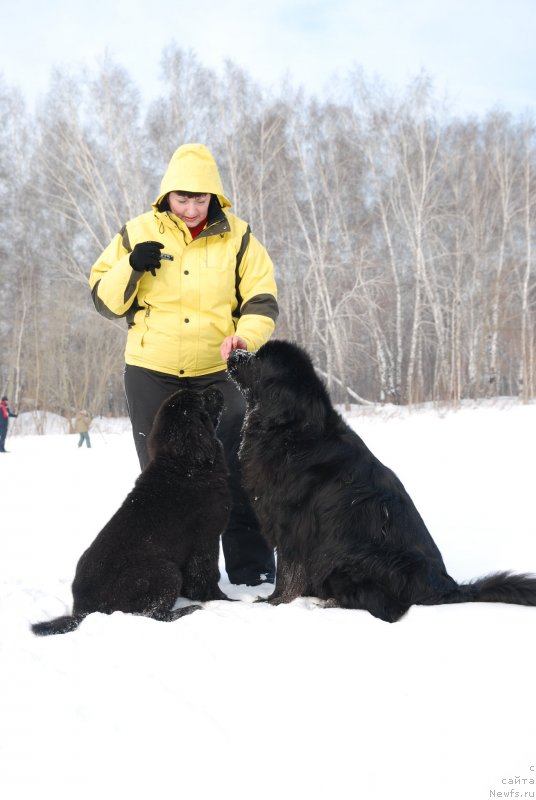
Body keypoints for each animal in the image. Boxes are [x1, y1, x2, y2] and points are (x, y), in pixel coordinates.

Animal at [31, 388, 230, 636]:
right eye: (202, 398)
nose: (217, 388)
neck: (186, 466)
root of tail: (82, 612)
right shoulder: (206, 540)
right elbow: (207, 575)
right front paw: (226, 600)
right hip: (167, 570)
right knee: (151, 613)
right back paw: (188, 610)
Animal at [228, 340, 536, 620]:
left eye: (258, 358)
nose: (234, 351)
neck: (291, 430)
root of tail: (445, 587)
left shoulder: (293, 526)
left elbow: (287, 573)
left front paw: (274, 603)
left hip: (350, 557)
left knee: (389, 608)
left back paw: (330, 604)